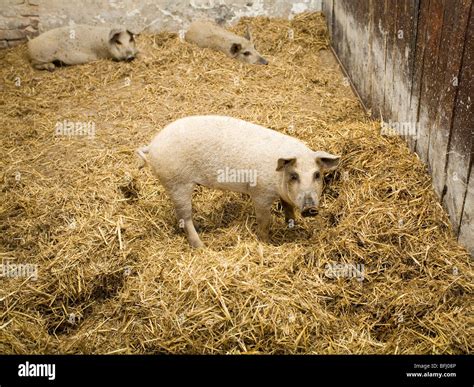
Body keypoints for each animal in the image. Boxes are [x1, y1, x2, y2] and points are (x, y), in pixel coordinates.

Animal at [137, 115, 340, 249]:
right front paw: (266, 243)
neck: (278, 179)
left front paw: (292, 225)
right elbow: (265, 221)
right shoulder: (260, 194)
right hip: (178, 184)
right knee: (185, 217)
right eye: (294, 176)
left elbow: (288, 209)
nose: (310, 208)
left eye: (317, 175)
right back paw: (201, 246)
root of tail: (152, 146)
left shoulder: (283, 196)